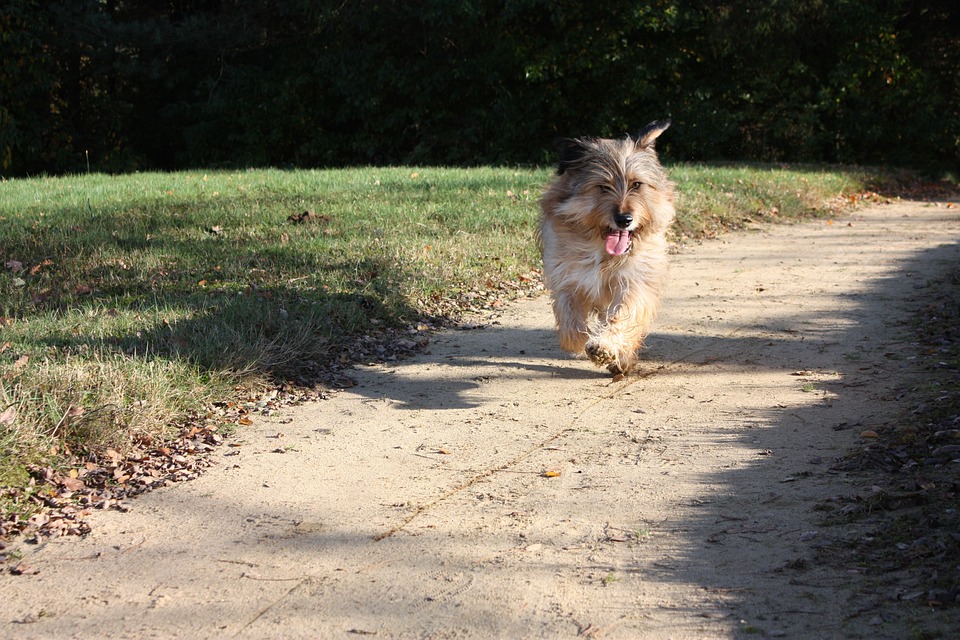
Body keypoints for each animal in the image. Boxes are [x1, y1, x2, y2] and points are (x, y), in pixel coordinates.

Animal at [540, 120, 676, 376]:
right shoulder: (567, 278)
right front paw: (583, 342)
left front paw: (606, 346)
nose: (624, 219)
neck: (602, 251)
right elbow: (571, 324)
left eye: (636, 184)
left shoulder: (634, 280)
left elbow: (623, 314)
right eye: (603, 186)